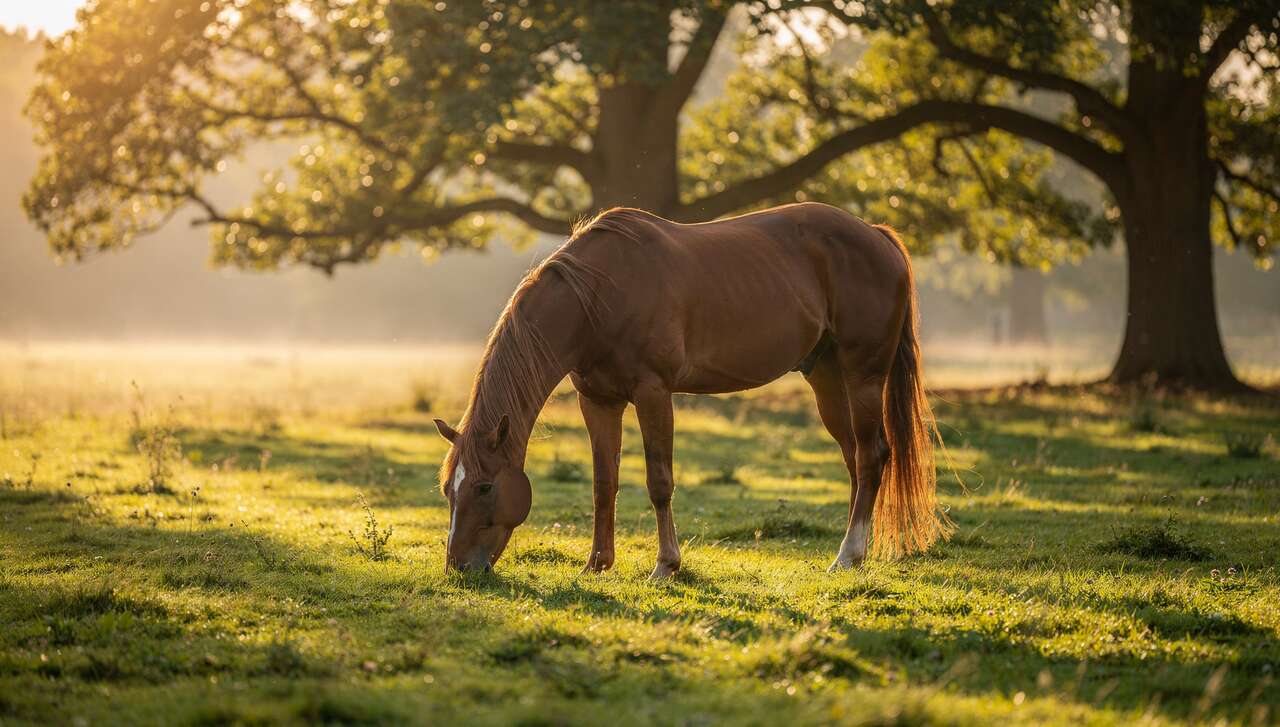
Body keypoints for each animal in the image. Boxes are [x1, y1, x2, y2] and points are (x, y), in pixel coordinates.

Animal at [432, 202, 950, 577]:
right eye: (447, 489)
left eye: (483, 486)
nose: (459, 567)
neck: (598, 296)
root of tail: (876, 234)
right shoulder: (598, 400)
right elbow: (604, 483)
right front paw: (597, 564)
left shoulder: (653, 393)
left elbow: (659, 482)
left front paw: (666, 565)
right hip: (827, 379)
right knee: (855, 460)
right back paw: (853, 554)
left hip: (864, 376)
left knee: (872, 455)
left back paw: (848, 554)